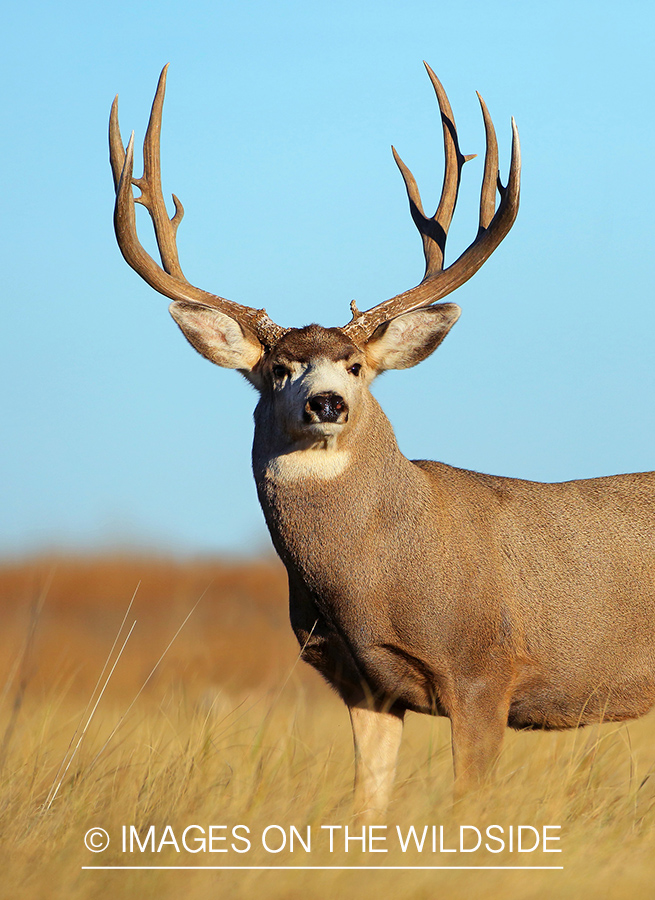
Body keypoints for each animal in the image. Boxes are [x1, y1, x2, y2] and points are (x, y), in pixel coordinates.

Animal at [109, 64, 655, 822]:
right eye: (278, 369)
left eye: (356, 366)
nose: (326, 403)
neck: (376, 580)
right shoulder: (362, 684)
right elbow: (367, 807)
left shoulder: (484, 671)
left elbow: (466, 807)